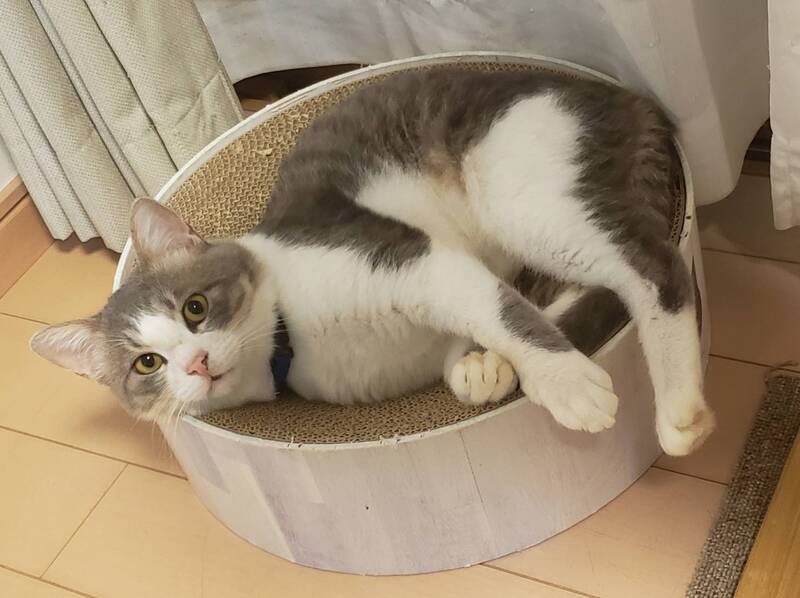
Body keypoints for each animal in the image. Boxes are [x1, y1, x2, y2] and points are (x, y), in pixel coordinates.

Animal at [30, 68, 715, 456]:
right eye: (146, 364)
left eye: (195, 308)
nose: (194, 363)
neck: (293, 335)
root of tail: (629, 99)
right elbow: (493, 321)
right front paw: (484, 367)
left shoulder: (411, 259)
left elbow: (504, 314)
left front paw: (567, 384)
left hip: (521, 188)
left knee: (649, 268)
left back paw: (679, 410)